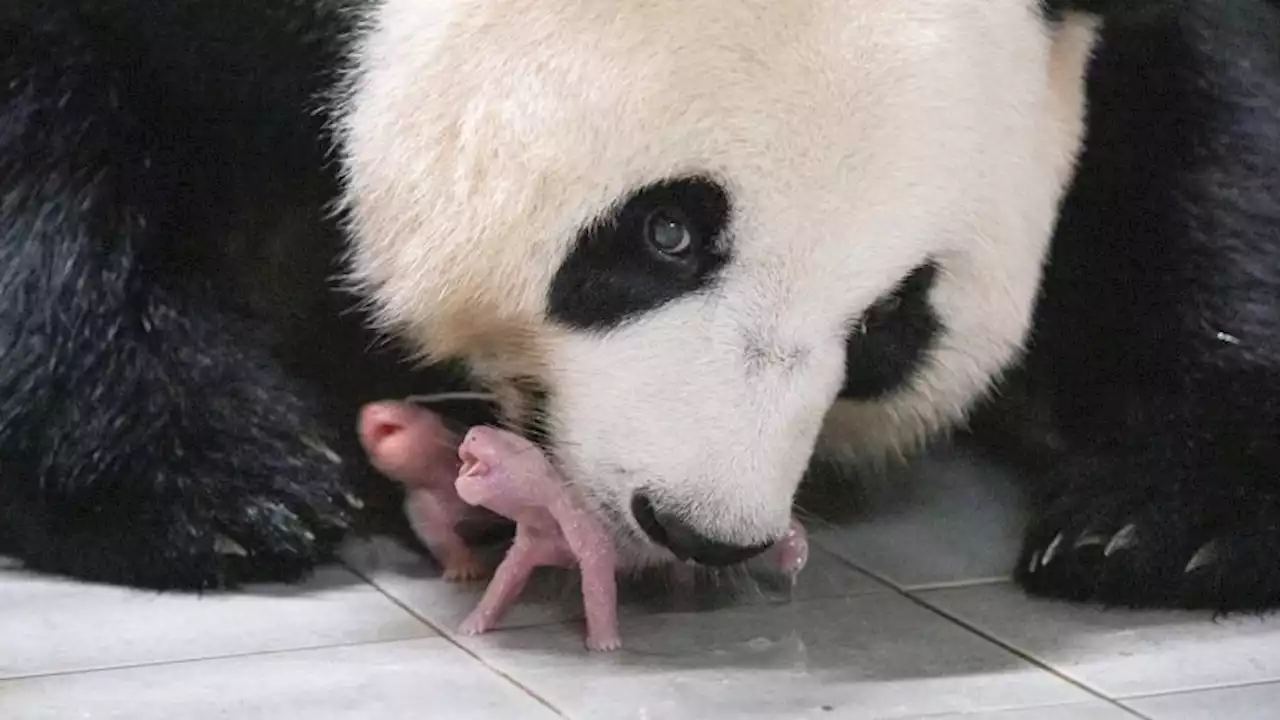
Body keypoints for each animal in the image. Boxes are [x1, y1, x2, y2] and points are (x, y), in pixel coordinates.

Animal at [2, 0, 1280, 609]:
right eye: (666, 232)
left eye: (889, 325)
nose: (700, 527)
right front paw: (212, 479)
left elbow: (1204, 130)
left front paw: (1163, 520)